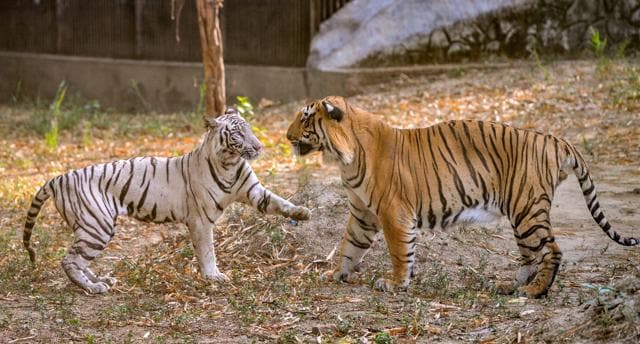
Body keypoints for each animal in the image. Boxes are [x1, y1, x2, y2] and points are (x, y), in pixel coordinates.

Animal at [22, 109, 308, 292]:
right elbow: (207, 251)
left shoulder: (253, 191)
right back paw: (93, 288)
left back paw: (101, 280)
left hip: (94, 228)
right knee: (69, 261)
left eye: (249, 128)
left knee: (78, 259)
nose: (258, 147)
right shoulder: (201, 219)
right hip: (97, 226)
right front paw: (213, 276)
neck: (230, 162)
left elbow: (278, 201)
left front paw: (302, 212)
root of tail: (60, 177)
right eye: (237, 134)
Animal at [288, 95, 636, 296]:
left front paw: (396, 284)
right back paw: (511, 286)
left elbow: (400, 252)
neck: (344, 158)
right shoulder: (363, 214)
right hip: (522, 214)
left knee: (551, 251)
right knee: (530, 255)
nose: (287, 137)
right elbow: (350, 245)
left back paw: (535, 292)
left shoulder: (393, 213)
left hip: (527, 211)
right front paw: (337, 273)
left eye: (305, 117)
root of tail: (553, 139)